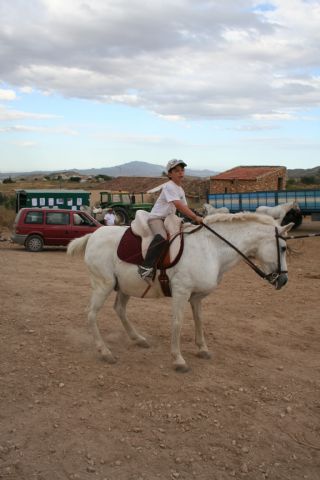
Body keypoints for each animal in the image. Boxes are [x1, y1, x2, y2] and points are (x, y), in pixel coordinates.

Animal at [68, 212, 296, 374]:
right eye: (283, 248)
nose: (284, 280)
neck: (210, 248)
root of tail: (94, 235)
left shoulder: (196, 296)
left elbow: (199, 319)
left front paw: (202, 349)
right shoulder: (181, 292)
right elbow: (177, 322)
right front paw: (178, 360)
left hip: (125, 286)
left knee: (119, 309)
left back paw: (138, 339)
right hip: (103, 285)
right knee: (91, 314)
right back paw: (105, 351)